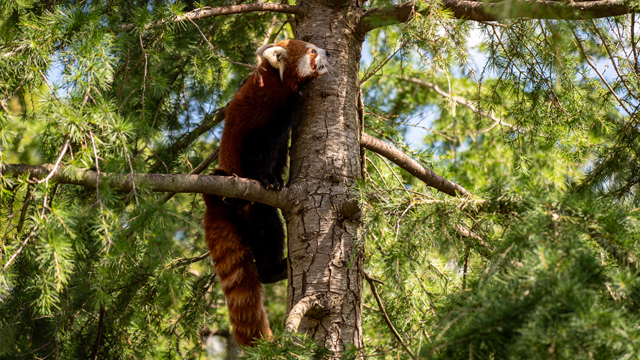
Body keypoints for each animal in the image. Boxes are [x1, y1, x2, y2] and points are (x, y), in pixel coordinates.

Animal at [202, 40, 330, 348]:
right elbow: (258, 154)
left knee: (267, 234)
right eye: (312, 51)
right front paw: (268, 179)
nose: (329, 52)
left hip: (256, 214)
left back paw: (274, 270)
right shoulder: (258, 115)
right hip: (241, 194)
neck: (279, 85)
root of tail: (213, 199)